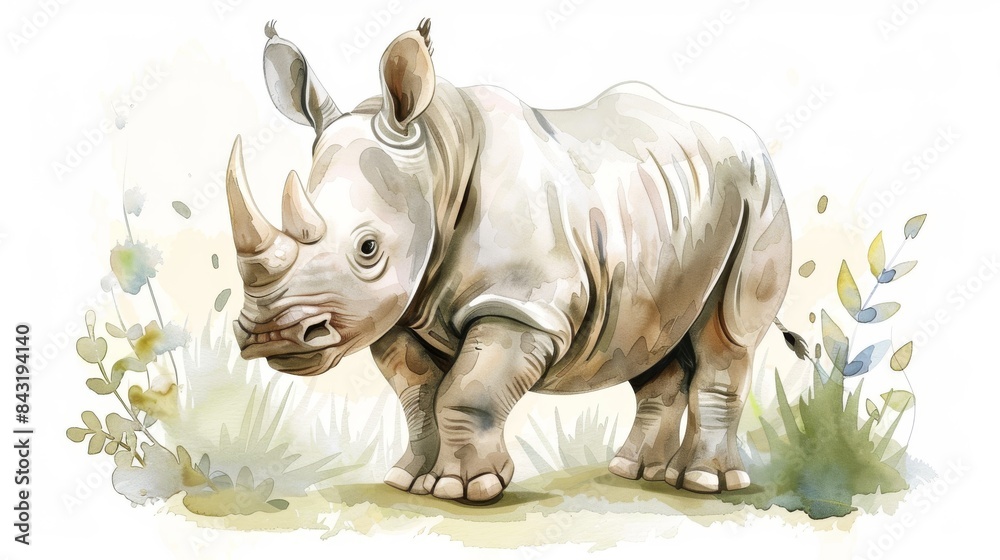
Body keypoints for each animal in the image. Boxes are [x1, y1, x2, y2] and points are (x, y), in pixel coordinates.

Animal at [228, 19, 792, 503]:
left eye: (368, 249)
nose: (271, 336)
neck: (439, 160)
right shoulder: (399, 312)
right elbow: (418, 396)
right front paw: (408, 480)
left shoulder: (520, 305)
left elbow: (467, 390)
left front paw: (463, 489)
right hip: (662, 222)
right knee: (650, 334)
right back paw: (635, 471)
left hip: (758, 191)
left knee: (728, 332)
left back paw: (701, 483)